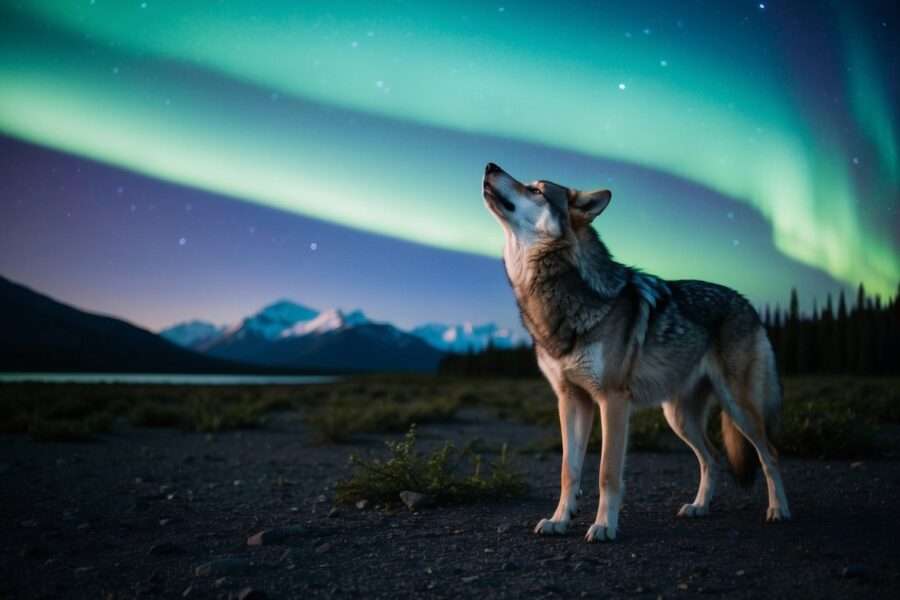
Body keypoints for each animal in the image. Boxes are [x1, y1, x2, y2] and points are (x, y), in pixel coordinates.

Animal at [482, 162, 790, 542]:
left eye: (536, 190)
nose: (490, 166)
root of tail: (748, 304)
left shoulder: (612, 400)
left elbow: (606, 472)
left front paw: (603, 526)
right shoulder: (570, 400)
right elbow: (568, 471)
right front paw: (559, 520)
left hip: (737, 407)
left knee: (770, 453)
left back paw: (778, 510)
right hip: (679, 417)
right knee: (713, 456)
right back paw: (699, 506)